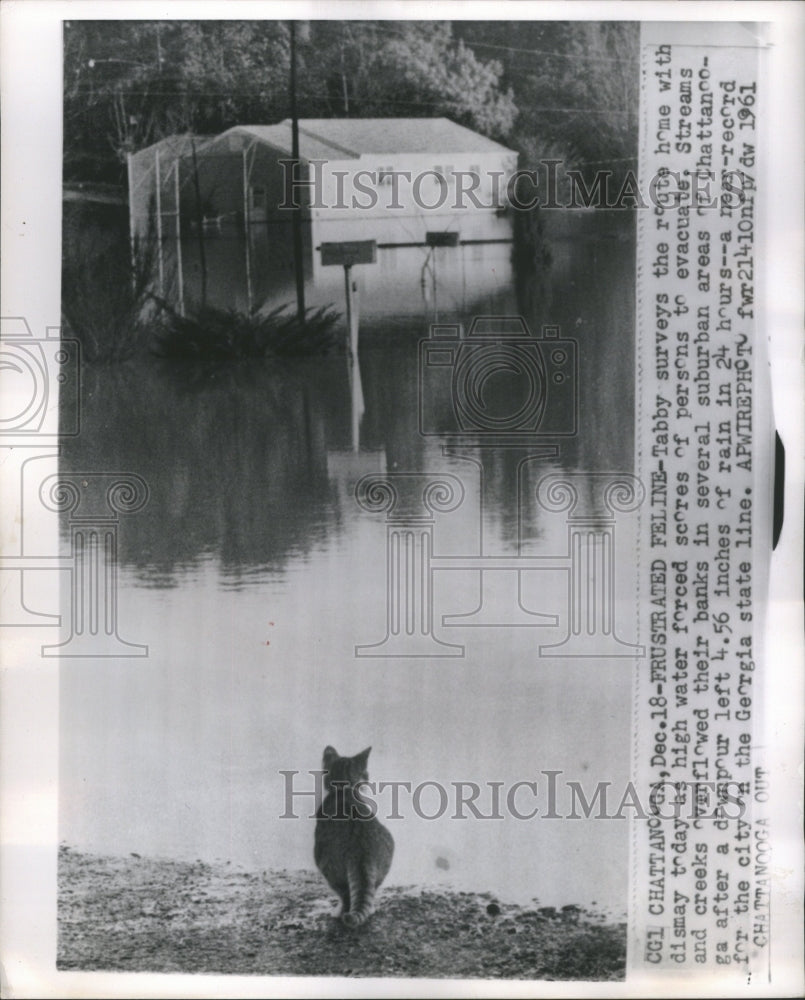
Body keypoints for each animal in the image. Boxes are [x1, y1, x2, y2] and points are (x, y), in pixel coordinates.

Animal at [312, 748, 394, 924]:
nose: (367, 778)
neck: (344, 789)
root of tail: (361, 849)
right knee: (371, 890)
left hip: (325, 862)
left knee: (345, 895)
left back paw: (338, 912)